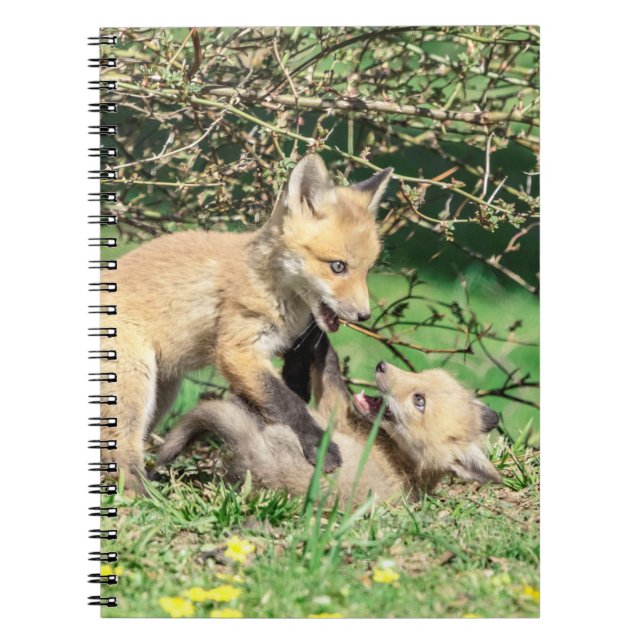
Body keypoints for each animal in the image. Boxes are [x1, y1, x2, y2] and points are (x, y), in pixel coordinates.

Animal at [100, 154, 393, 494]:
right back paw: (142, 496)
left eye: (367, 270)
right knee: (119, 452)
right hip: (135, 385)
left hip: (163, 391)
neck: (270, 284)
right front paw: (319, 446)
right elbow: (288, 402)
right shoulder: (237, 350)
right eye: (338, 267)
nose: (364, 316)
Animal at [154, 329, 502, 505]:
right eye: (422, 376)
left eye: (420, 401)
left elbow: (330, 367)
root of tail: (257, 458)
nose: (381, 366)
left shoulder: (336, 411)